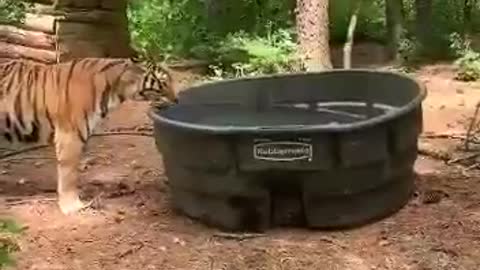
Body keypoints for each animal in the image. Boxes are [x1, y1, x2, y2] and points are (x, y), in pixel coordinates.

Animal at [0, 57, 178, 215]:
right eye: (163, 84)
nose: (177, 100)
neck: (115, 88)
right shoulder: (70, 136)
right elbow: (69, 174)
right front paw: (72, 206)